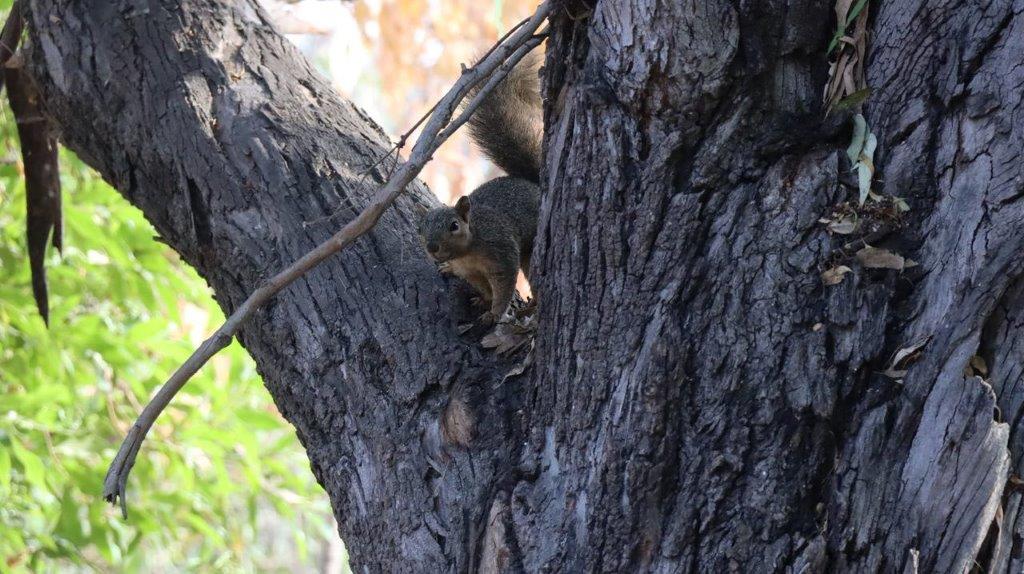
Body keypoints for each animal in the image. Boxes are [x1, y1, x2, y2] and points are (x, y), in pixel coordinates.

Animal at [417, 49, 544, 325]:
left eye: (454, 226)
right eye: (421, 229)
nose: (432, 248)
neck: (468, 252)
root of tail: (534, 184)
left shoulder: (502, 254)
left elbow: (504, 287)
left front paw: (494, 313)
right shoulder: (471, 272)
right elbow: (484, 287)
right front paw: (483, 301)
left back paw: (532, 306)